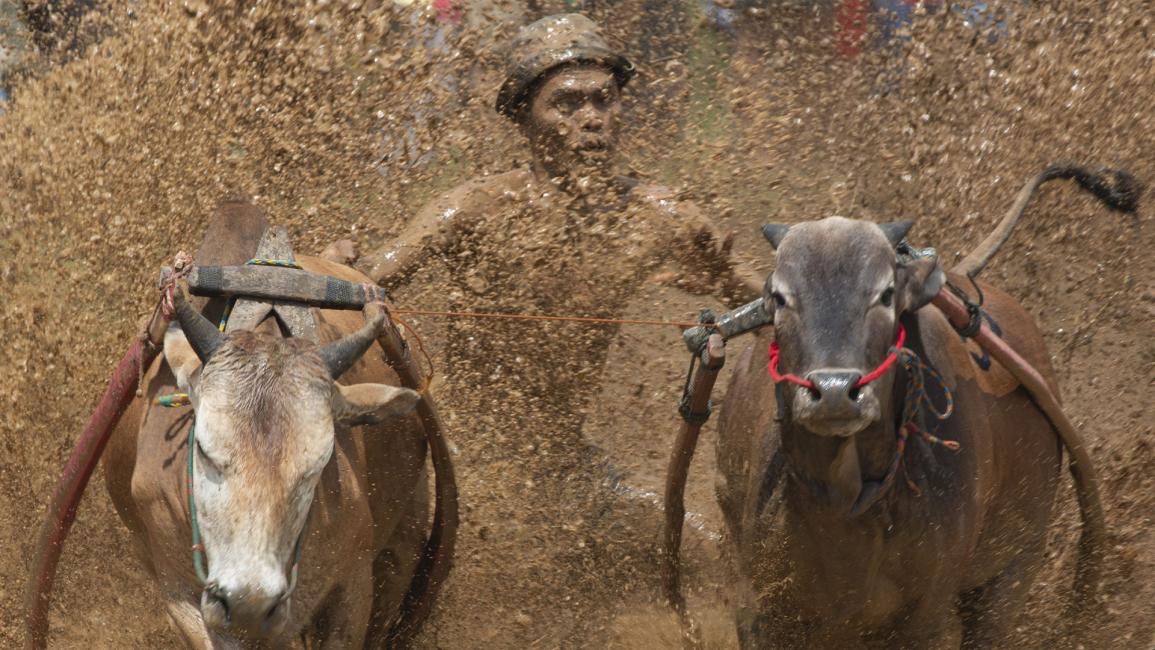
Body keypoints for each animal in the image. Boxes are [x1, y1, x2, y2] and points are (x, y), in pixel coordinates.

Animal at [716, 220, 1085, 650]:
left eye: (886, 293)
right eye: (779, 296)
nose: (835, 391)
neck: (848, 501)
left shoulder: (927, 617)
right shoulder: (758, 605)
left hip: (1015, 567)